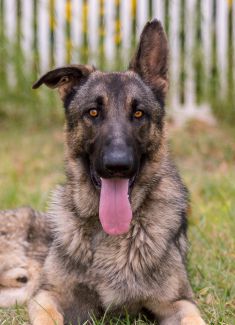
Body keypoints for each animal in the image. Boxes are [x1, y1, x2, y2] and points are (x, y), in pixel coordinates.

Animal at [28, 20, 206, 324]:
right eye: (93, 113)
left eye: (139, 114)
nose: (117, 165)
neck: (110, 233)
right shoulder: (48, 295)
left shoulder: (179, 303)